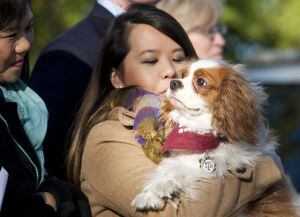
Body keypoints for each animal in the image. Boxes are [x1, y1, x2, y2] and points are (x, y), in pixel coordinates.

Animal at [131, 59, 298, 215]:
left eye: (200, 82)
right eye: (182, 76)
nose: (173, 82)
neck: (200, 132)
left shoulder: (227, 162)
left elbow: (188, 170)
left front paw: (166, 185)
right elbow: (167, 167)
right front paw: (148, 194)